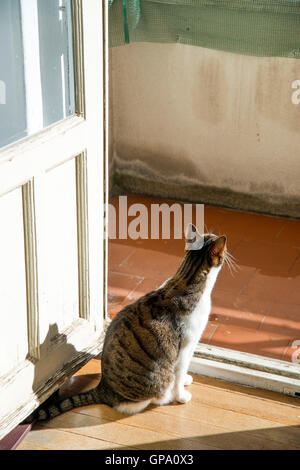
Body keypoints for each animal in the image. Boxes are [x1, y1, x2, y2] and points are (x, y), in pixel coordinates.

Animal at [29, 224, 227, 418]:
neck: (187, 281)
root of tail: (103, 389)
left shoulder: (192, 345)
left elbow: (184, 371)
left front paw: (186, 379)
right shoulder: (185, 347)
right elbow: (179, 373)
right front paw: (181, 396)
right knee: (134, 403)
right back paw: (165, 396)